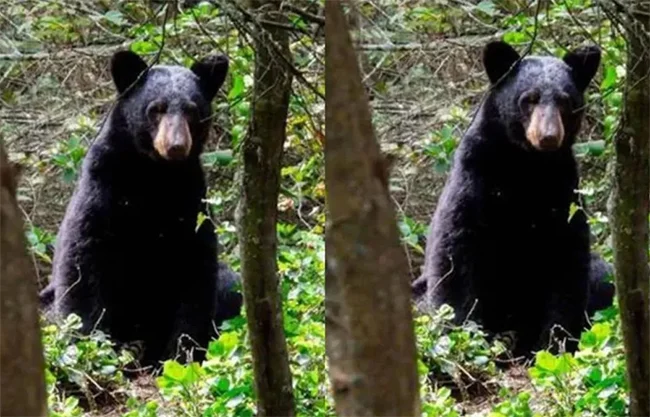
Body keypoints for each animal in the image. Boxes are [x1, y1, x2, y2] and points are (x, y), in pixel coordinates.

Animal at [41, 49, 243, 367]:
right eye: (156, 108)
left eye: (192, 110)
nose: (176, 146)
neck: (152, 175)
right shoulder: (103, 189)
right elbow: (82, 261)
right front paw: (88, 347)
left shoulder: (190, 201)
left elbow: (196, 272)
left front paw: (179, 355)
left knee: (230, 285)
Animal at [412, 40, 613, 360]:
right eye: (529, 99)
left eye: (565, 101)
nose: (548, 137)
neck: (525, 165)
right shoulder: (475, 178)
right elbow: (455, 250)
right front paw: (460, 337)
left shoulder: (562, 192)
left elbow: (568, 261)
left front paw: (553, 344)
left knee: (603, 276)